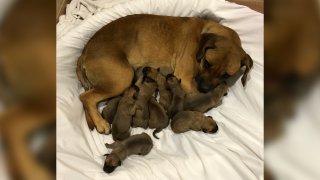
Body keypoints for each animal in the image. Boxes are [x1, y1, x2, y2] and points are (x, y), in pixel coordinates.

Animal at [77, 14, 252, 134]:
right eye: (207, 63)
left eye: (226, 75)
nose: (204, 88)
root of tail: (84, 53)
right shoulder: (186, 78)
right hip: (122, 78)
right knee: (85, 97)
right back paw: (101, 123)